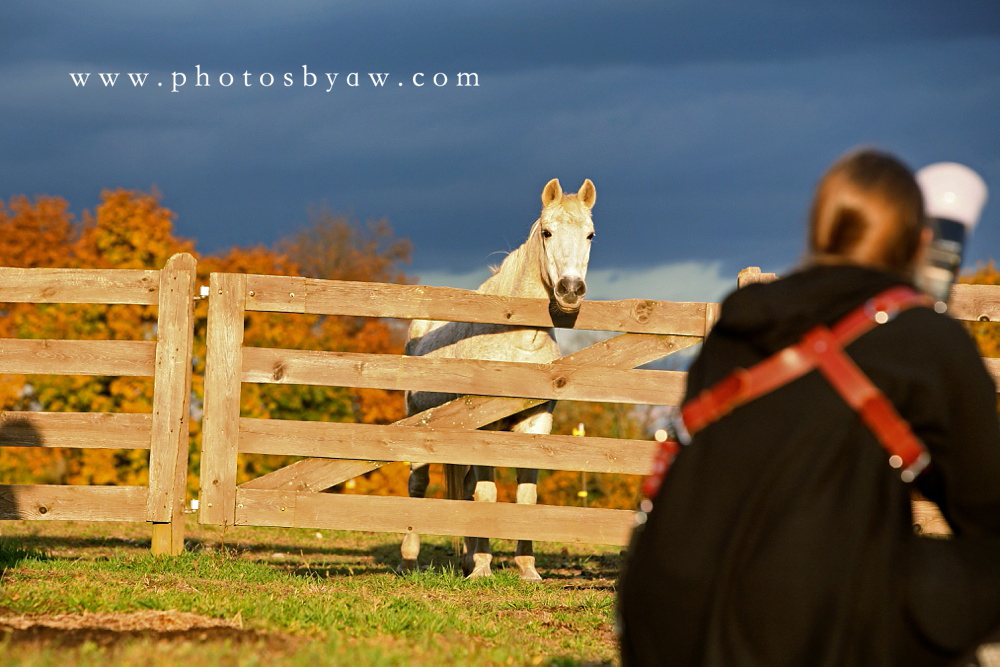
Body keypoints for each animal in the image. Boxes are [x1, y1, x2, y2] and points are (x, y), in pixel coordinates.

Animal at [402, 177, 596, 580]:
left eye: (590, 235)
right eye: (548, 232)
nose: (570, 290)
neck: (519, 339)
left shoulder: (535, 426)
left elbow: (524, 497)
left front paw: (527, 569)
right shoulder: (485, 430)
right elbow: (489, 494)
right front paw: (483, 569)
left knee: (464, 489)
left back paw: (464, 558)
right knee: (418, 485)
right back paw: (409, 561)